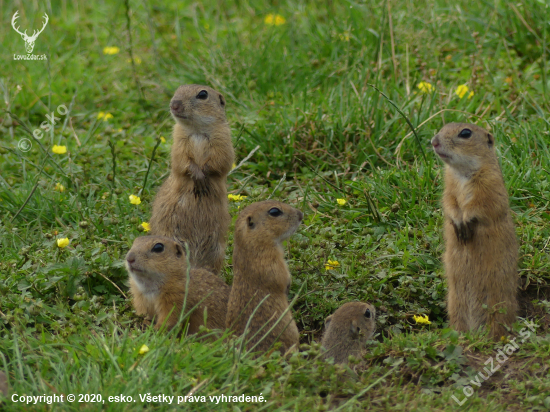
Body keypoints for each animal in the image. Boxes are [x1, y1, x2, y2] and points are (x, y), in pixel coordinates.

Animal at [150, 84, 236, 276]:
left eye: (202, 94)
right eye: (177, 89)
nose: (174, 104)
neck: (197, 130)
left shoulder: (223, 139)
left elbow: (219, 161)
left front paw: (203, 175)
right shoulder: (179, 141)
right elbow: (183, 161)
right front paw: (197, 175)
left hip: (217, 249)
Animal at [434, 122, 520, 338]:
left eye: (465, 133)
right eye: (443, 126)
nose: (434, 141)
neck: (462, 173)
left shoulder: (490, 185)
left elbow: (481, 205)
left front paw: (465, 222)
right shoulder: (449, 188)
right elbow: (449, 202)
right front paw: (458, 223)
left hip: (498, 302)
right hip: (454, 302)